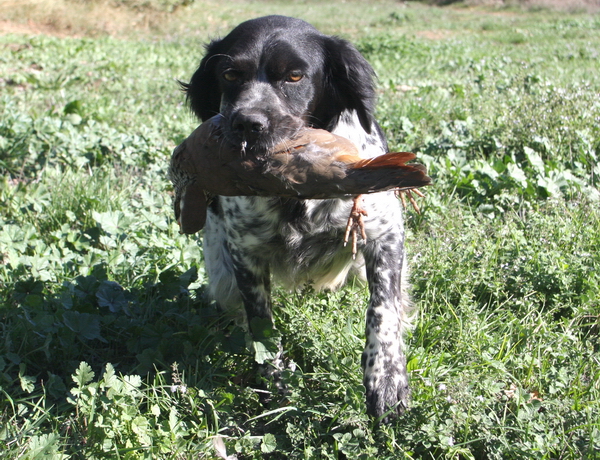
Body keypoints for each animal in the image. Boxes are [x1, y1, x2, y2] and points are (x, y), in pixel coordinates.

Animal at [180, 15, 410, 420]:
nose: (247, 124)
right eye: (229, 74)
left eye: (294, 76)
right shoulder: (244, 253)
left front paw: (386, 377)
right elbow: (262, 326)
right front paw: (273, 385)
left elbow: (383, 308)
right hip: (221, 273)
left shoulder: (385, 234)